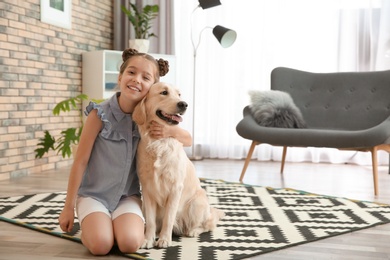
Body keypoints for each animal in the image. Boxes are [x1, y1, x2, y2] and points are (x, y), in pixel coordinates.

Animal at [133, 83, 225, 248]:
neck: (159, 142)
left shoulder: (175, 188)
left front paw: (164, 239)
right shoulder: (147, 189)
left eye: (179, 95)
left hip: (196, 204)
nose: (184, 104)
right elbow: (150, 220)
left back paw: (193, 230)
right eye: (164, 92)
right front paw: (148, 239)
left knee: (209, 223)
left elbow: (169, 217)